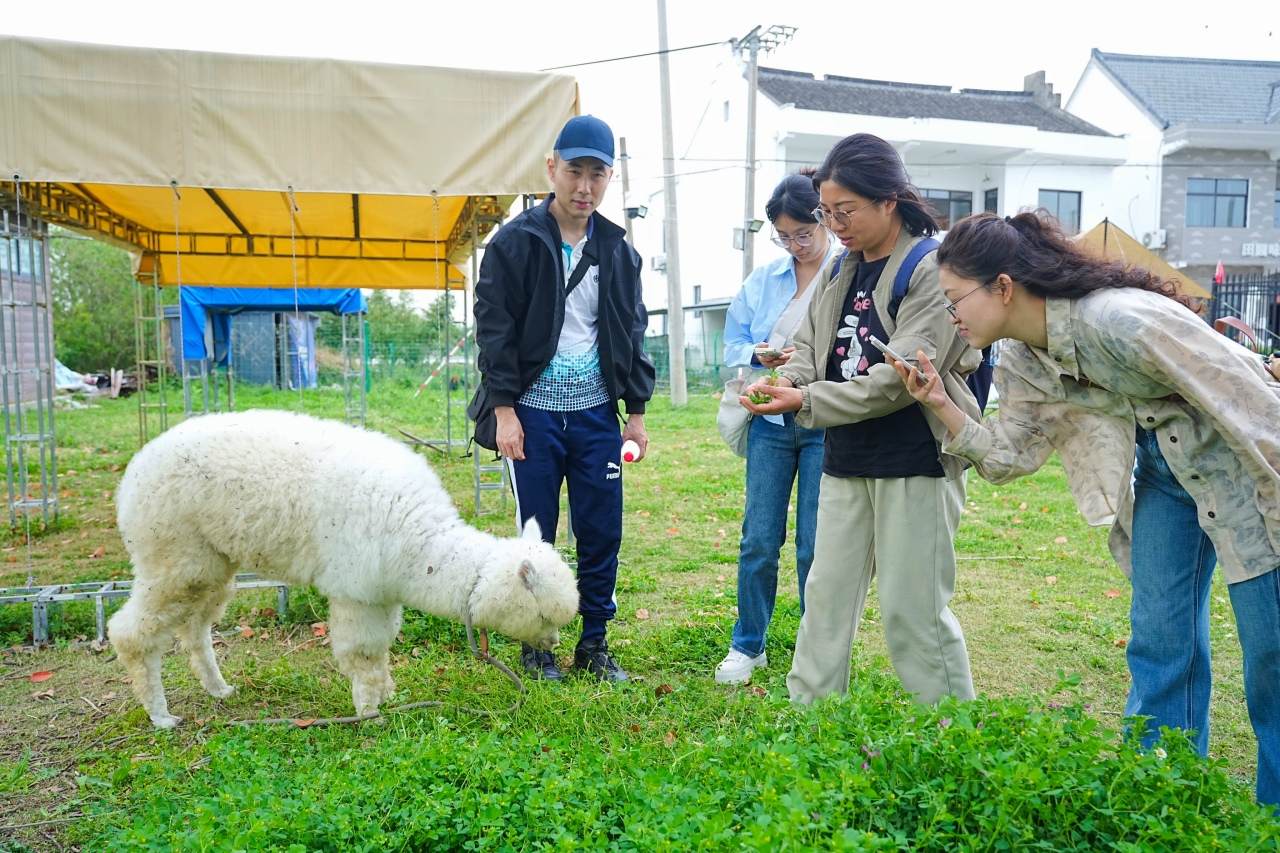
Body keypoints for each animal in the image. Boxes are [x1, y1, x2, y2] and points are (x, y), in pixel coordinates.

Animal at [106, 409, 579, 728]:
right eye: (544, 616)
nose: (554, 642)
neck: (423, 550)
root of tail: (134, 470)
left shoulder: (382, 590)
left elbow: (383, 648)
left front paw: (386, 693)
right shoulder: (357, 588)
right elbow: (363, 652)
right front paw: (369, 712)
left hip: (210, 561)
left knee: (195, 628)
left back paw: (219, 689)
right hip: (171, 552)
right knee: (130, 632)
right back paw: (161, 716)